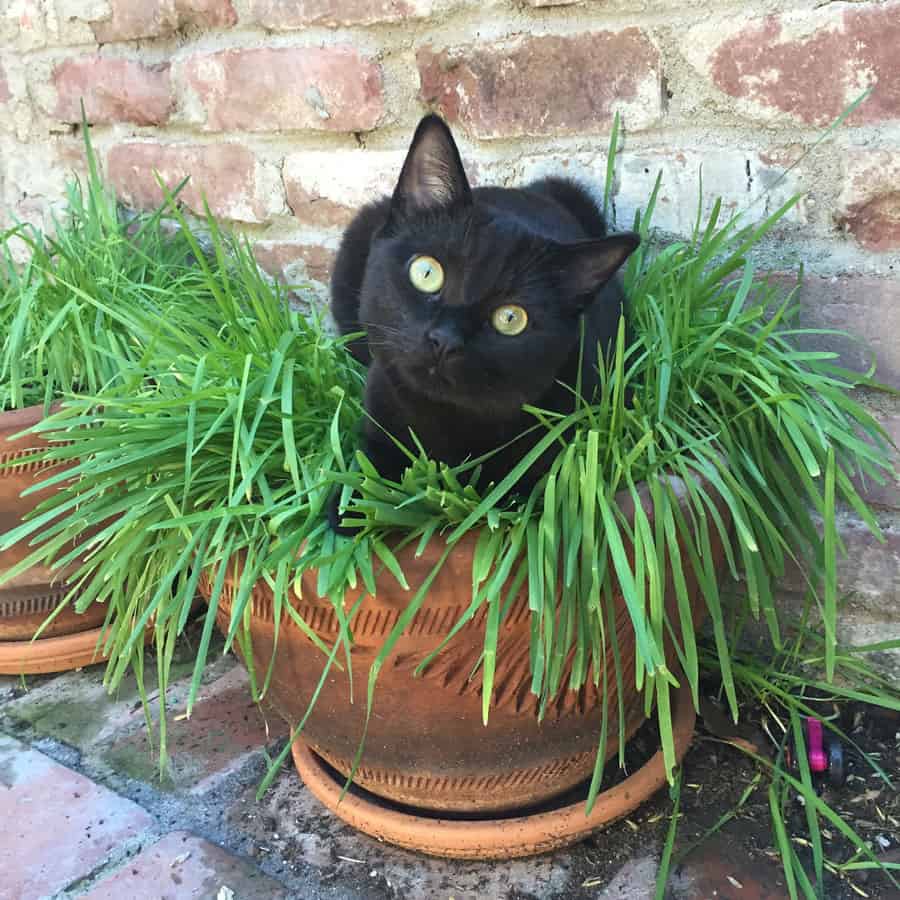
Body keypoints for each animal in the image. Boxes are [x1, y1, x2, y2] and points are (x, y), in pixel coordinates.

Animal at [330, 114, 640, 528]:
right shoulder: (379, 422)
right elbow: (364, 481)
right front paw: (346, 508)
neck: (447, 416)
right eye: (426, 273)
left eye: (511, 318)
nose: (445, 339)